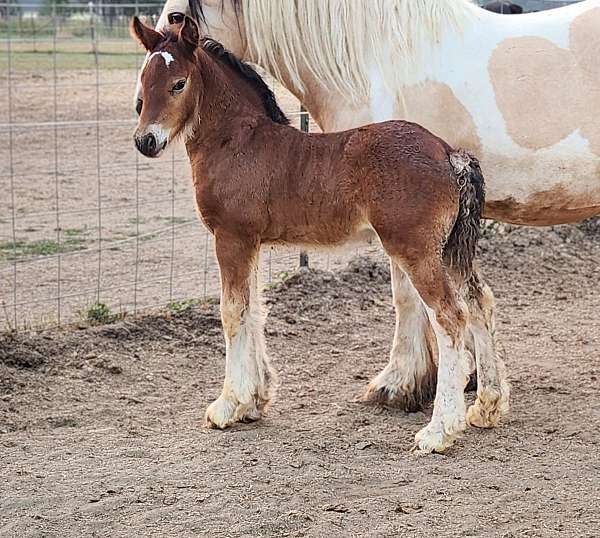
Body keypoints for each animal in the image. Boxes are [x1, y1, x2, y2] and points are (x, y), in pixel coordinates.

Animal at [139, 0, 596, 436]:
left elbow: (233, 313)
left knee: (450, 317)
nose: (146, 141)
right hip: (450, 249)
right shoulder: (249, 242)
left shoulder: (230, 238)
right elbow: (254, 311)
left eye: (178, 84)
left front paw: (226, 406)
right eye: (143, 83)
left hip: (416, 251)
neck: (241, 141)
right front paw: (252, 402)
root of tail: (449, 154)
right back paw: (485, 408)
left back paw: (439, 431)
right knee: (477, 303)